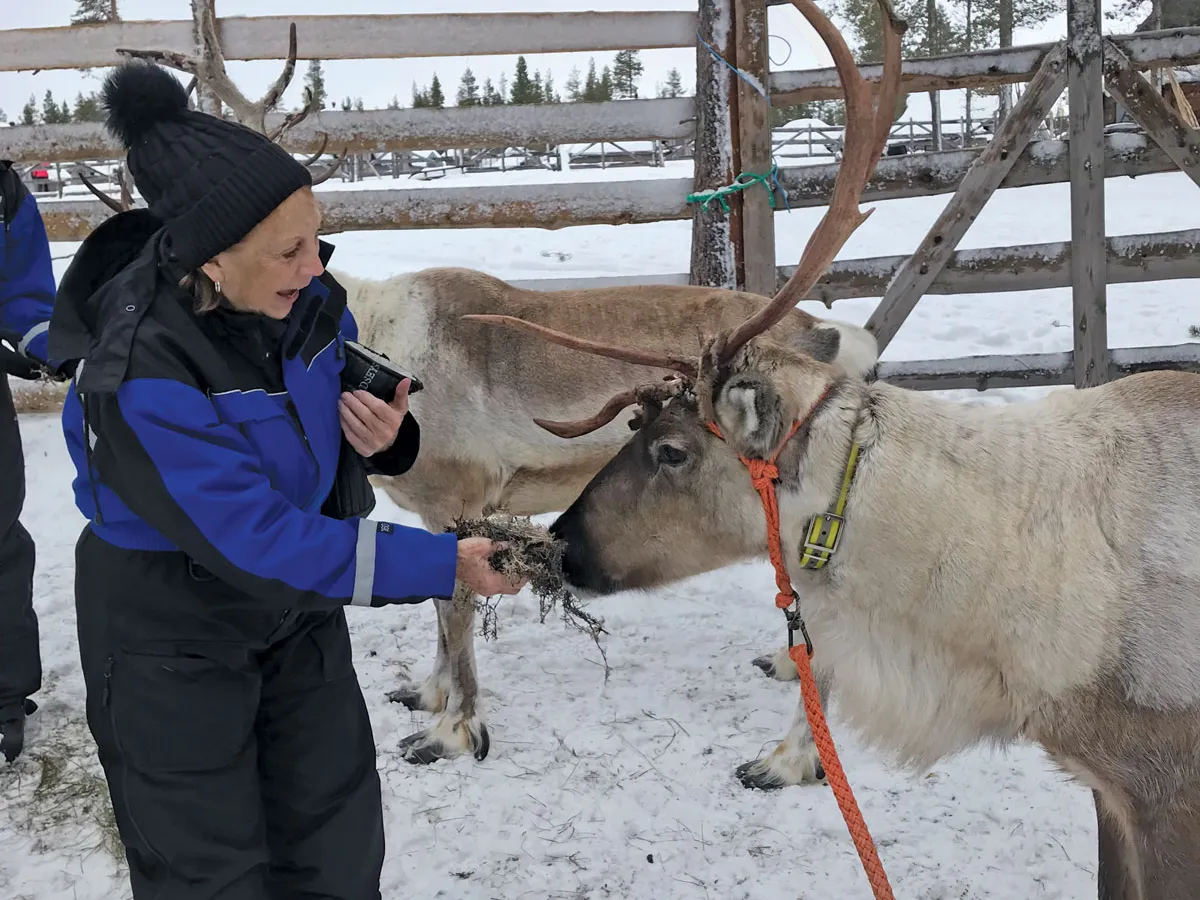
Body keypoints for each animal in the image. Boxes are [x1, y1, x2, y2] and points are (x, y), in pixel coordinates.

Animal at [70, 4, 883, 768]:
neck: (368, 334)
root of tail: (829, 335)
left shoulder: (459, 496)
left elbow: (455, 607)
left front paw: (454, 729)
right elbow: (437, 604)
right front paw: (429, 693)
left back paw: (792, 758)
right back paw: (785, 667)